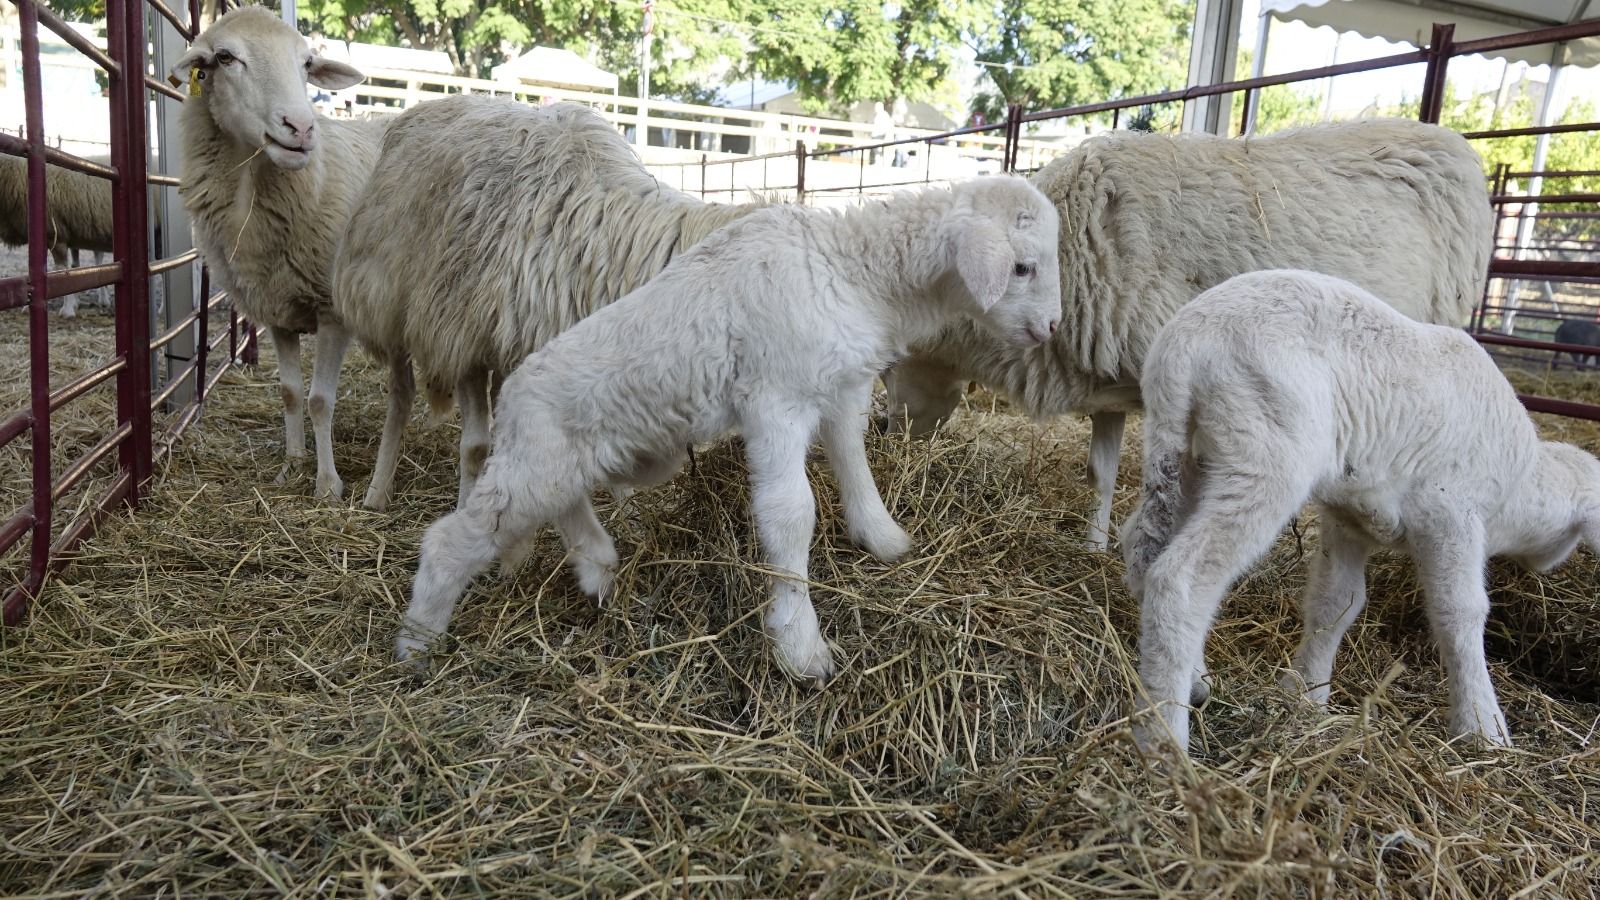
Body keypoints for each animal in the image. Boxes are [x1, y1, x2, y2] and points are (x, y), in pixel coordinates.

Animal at [167, 5, 376, 496]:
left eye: (307, 63)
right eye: (224, 57)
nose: (300, 127)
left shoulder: (333, 312)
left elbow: (320, 400)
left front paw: (327, 484)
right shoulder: (276, 309)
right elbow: (290, 393)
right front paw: (293, 463)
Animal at [331, 96, 768, 512]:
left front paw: (628, 513)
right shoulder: (464, 341)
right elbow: (474, 446)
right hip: (386, 302)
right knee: (400, 395)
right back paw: (377, 491)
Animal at [395, 175, 1062, 679]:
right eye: (1022, 267)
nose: (1054, 328)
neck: (853, 268)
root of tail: (511, 396)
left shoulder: (840, 388)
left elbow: (855, 467)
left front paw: (885, 541)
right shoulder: (776, 398)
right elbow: (789, 514)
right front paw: (800, 646)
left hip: (587, 457)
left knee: (565, 502)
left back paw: (597, 568)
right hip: (536, 460)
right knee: (453, 538)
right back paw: (417, 644)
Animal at [883, 119, 1491, 550]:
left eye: (890, 366)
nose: (887, 434)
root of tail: (1454, 145)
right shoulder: (1108, 374)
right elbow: (1100, 473)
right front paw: (1093, 546)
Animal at [1120, 267, 1600, 749]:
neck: (1520, 486)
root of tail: (1186, 342)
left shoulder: (1348, 519)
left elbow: (1336, 602)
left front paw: (1305, 695)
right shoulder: (1450, 514)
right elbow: (1461, 612)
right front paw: (1483, 728)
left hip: (1188, 455)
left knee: (1142, 548)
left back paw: (1192, 684)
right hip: (1266, 445)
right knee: (1180, 579)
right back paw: (1162, 740)